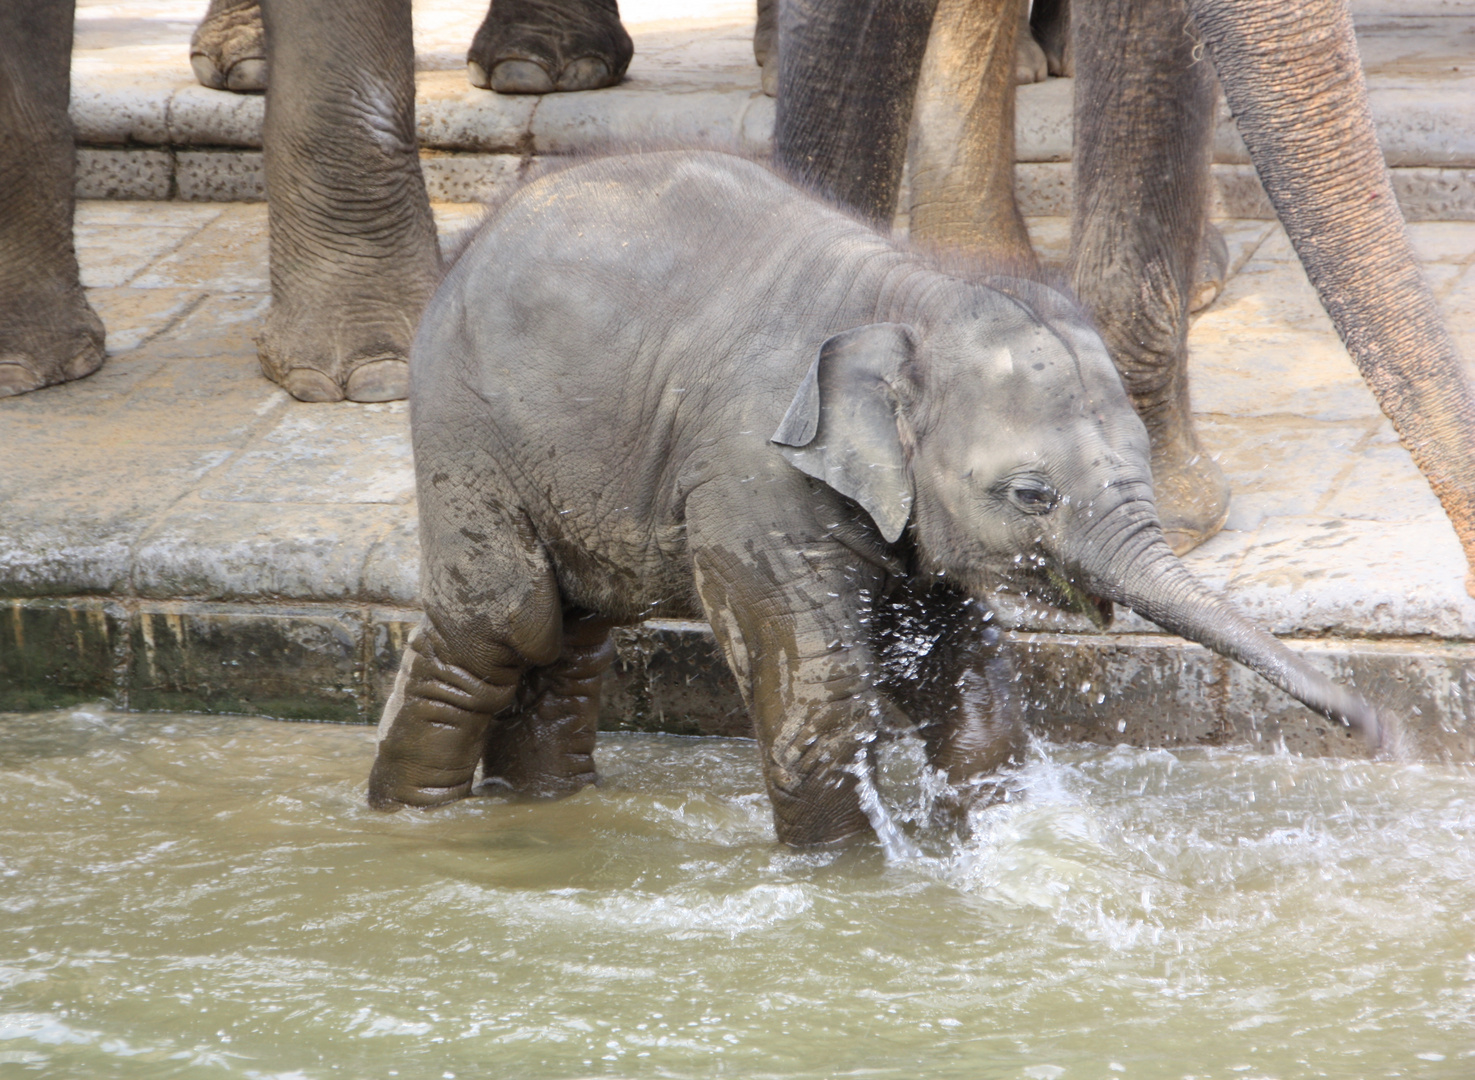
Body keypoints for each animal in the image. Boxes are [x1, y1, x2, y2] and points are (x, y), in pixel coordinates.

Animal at [368, 147, 1380, 849]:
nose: (1380, 728)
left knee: (574, 634)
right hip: (466, 428)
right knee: (503, 623)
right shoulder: (752, 477)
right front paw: (855, 880)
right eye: (1031, 494)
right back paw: (413, 819)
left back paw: (543, 806)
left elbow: (964, 684)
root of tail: (472, 241)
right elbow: (821, 699)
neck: (908, 297)